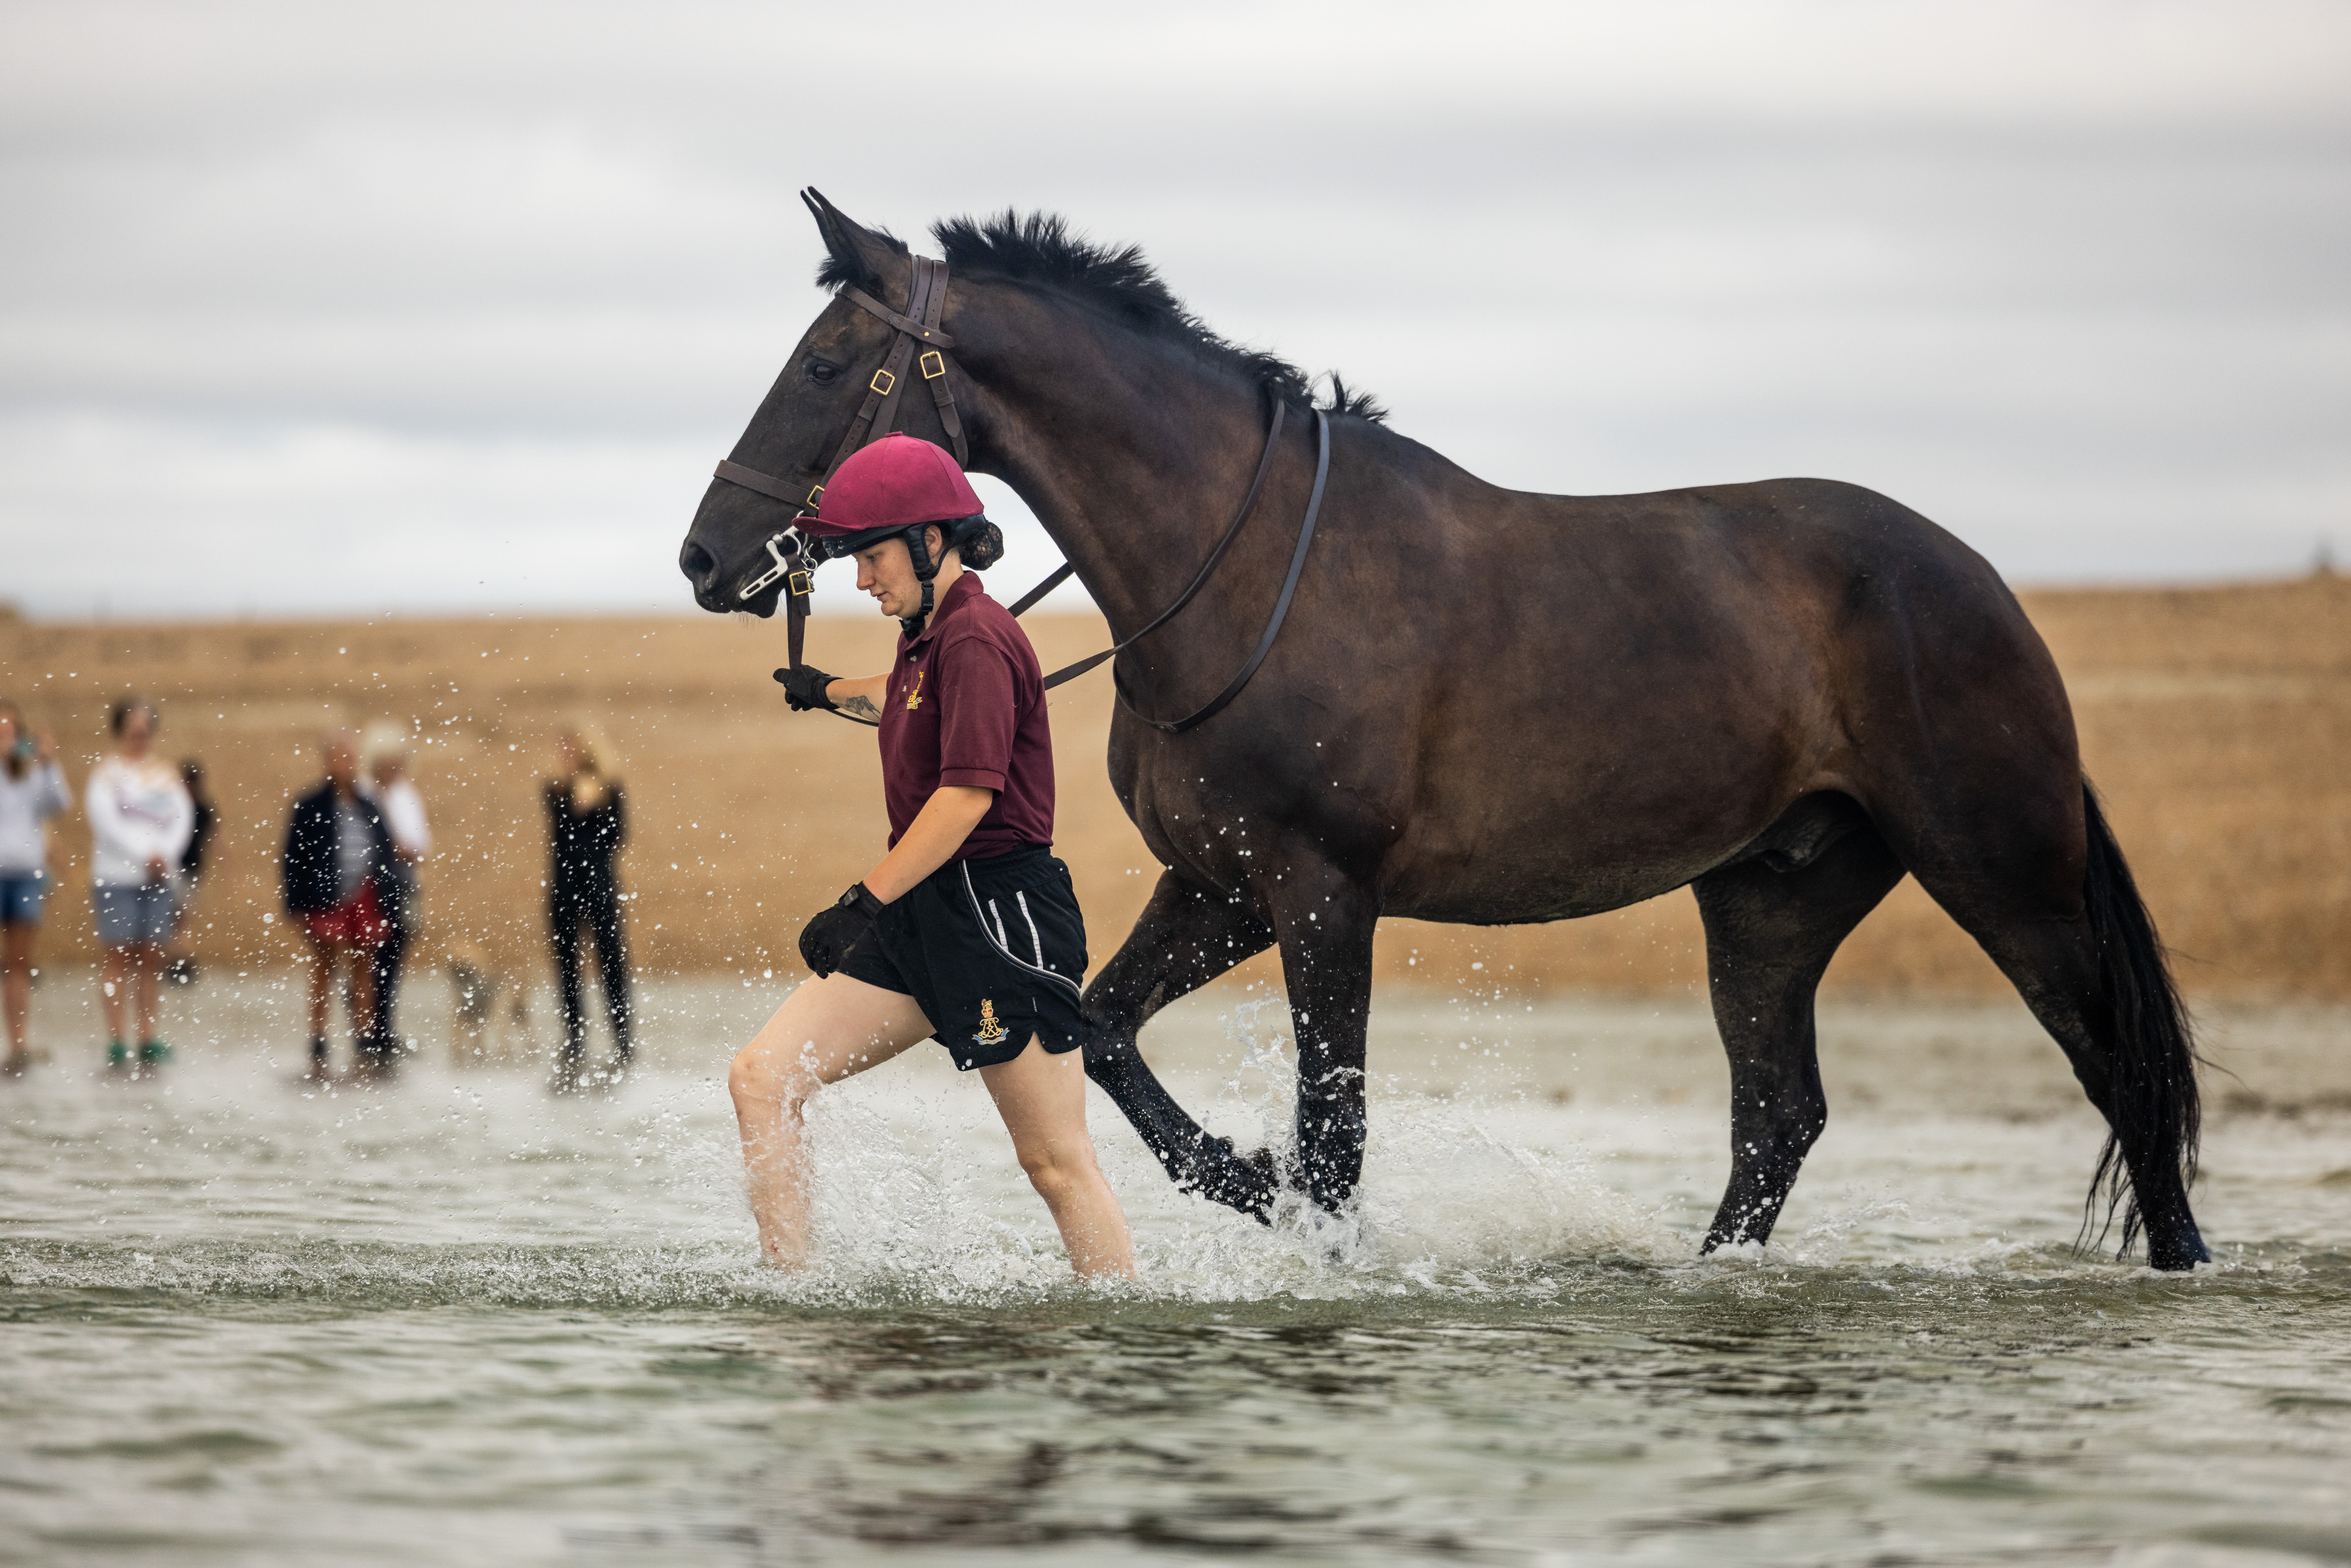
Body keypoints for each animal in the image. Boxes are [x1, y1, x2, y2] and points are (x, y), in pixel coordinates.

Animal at [678, 191, 2208, 1271]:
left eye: (828, 361)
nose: (705, 557)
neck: (1238, 572)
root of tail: (1978, 583)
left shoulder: (1320, 895)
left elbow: (1335, 1127)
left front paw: (1313, 1234)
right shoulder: (1221, 888)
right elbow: (1108, 1035)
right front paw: (1248, 1184)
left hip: (2003, 877)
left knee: (2119, 1071)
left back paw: (2183, 1268)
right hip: (1771, 899)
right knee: (1779, 1116)